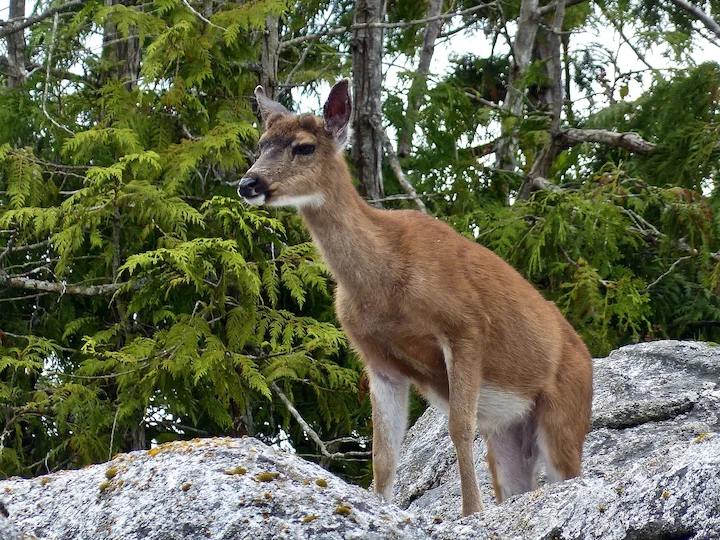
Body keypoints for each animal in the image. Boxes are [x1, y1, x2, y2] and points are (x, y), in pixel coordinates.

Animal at [238, 79, 593, 517]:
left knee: (567, 470)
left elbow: (459, 427)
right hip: (509, 427)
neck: (384, 282)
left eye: (304, 147)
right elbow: (383, 455)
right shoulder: (378, 359)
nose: (248, 184)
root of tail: (586, 357)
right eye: (261, 144)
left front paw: (470, 513)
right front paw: (379, 506)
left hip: (566, 411)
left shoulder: (466, 325)